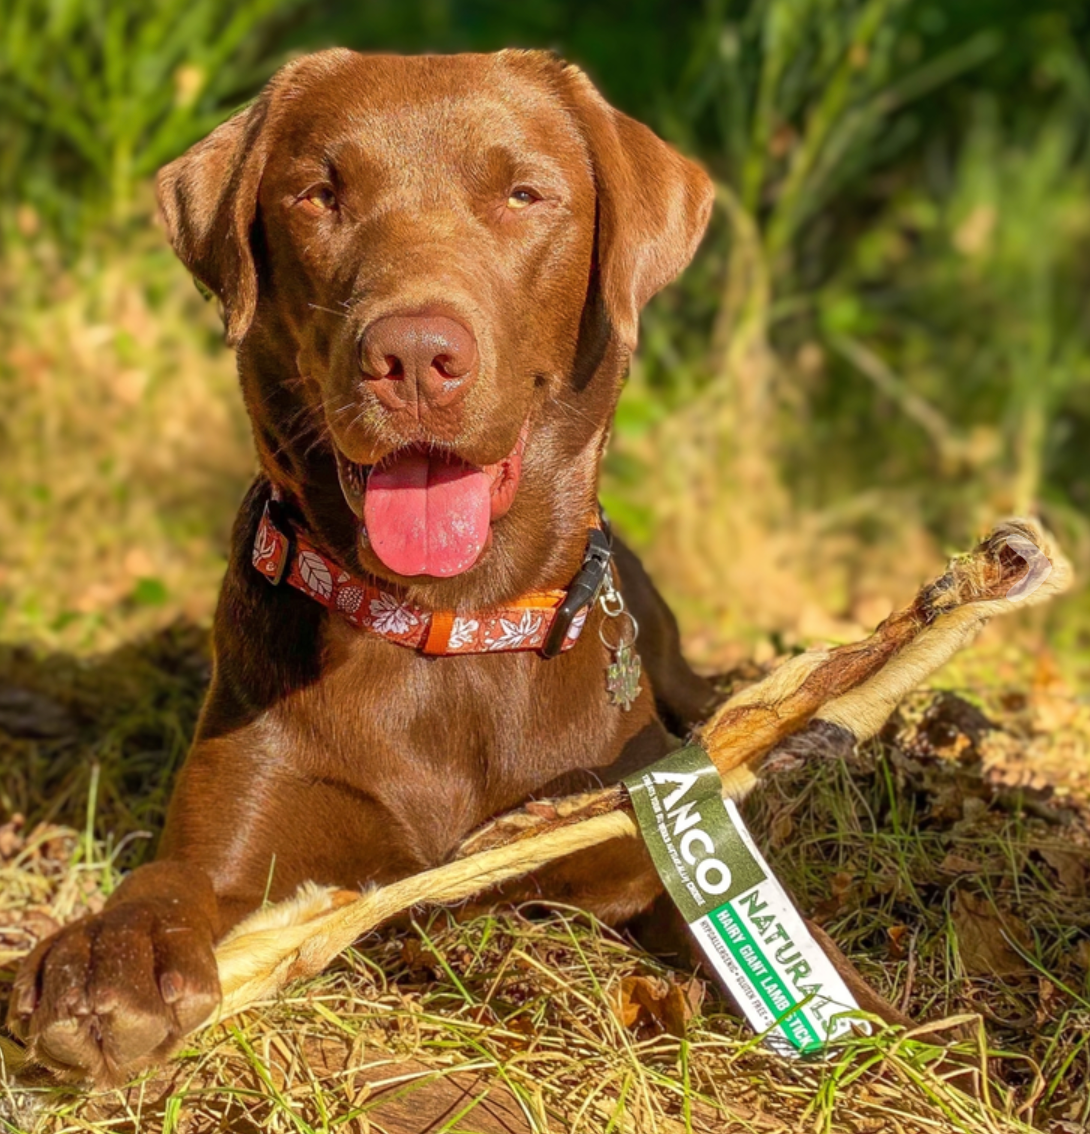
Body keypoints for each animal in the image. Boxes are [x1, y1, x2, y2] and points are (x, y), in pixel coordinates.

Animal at [10, 48, 902, 1084]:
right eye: (320, 194)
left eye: (522, 194)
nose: (413, 354)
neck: (450, 625)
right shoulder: (241, 825)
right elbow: (168, 879)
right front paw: (107, 963)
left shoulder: (631, 831)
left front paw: (889, 1032)